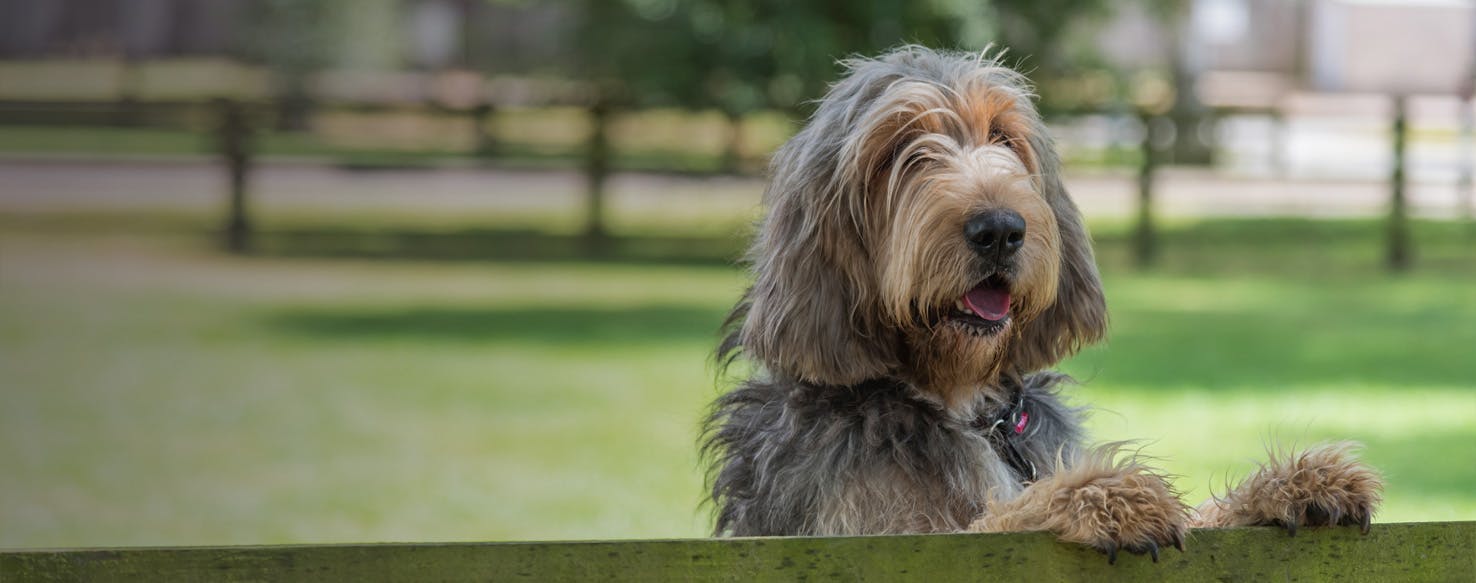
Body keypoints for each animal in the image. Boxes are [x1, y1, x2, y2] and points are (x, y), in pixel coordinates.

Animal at [699, 46, 1369, 560]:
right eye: (898, 150)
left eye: (1003, 136)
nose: (1000, 228)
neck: (964, 403)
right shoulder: (883, 536)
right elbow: (995, 519)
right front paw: (1102, 497)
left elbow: (1203, 516)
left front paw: (1289, 486)